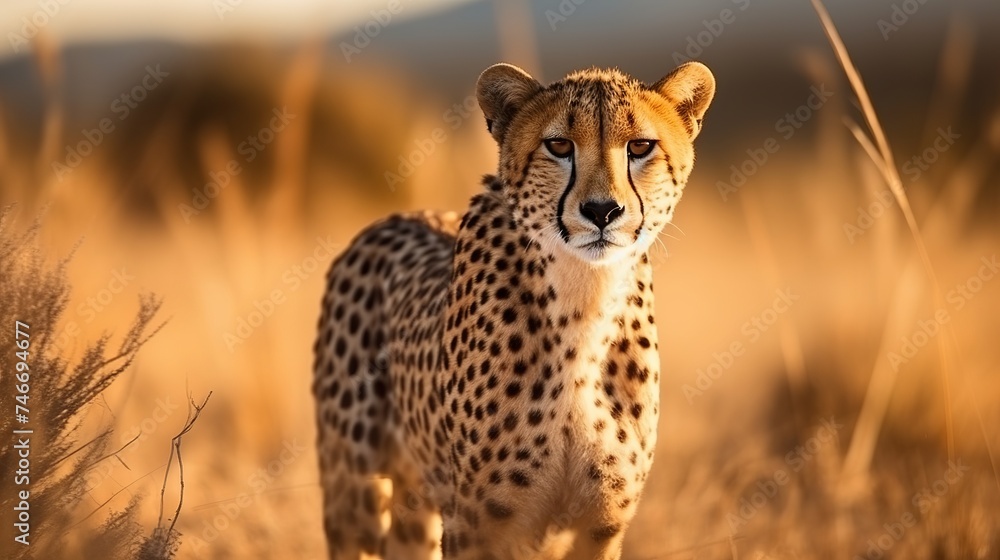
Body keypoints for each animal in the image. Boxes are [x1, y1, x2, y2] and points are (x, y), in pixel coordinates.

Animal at [312, 61, 715, 560]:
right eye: (559, 145)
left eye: (640, 146)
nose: (603, 210)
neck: (585, 303)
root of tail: (395, 217)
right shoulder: (476, 524)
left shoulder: (601, 525)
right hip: (355, 495)